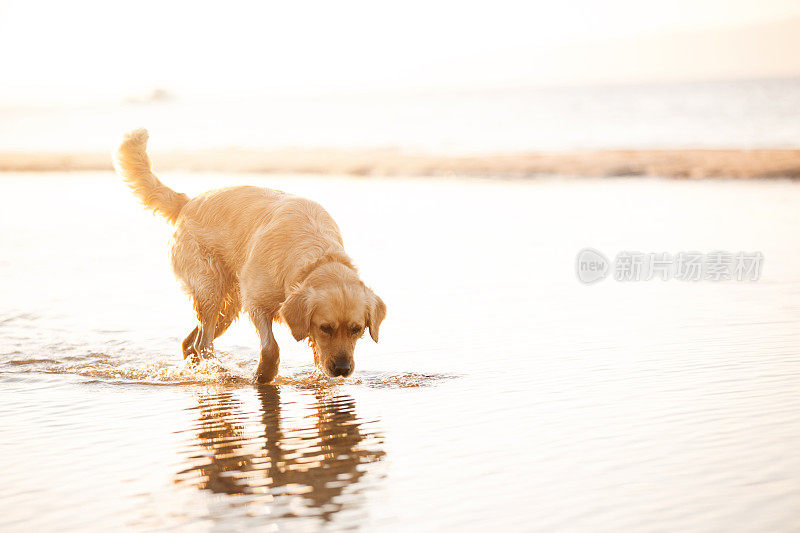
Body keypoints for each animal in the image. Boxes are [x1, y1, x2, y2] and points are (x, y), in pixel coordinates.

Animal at [114, 129, 386, 382]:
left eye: (357, 329)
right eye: (326, 327)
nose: (341, 369)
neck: (314, 254)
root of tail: (187, 203)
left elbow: (316, 353)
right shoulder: (256, 302)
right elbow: (271, 347)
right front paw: (262, 376)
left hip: (229, 305)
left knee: (189, 342)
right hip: (211, 289)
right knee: (203, 342)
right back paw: (219, 371)